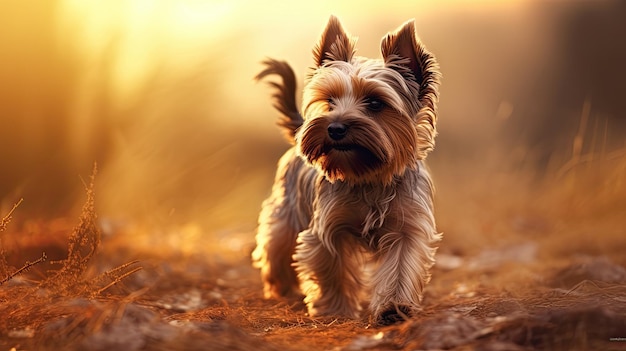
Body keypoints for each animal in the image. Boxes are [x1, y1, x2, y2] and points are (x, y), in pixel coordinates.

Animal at [251, 15, 442, 324]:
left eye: (375, 103)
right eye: (330, 101)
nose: (335, 127)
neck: (368, 176)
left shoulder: (408, 226)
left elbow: (401, 267)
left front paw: (393, 308)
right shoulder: (328, 228)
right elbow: (332, 270)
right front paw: (336, 312)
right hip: (285, 213)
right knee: (275, 246)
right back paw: (279, 287)